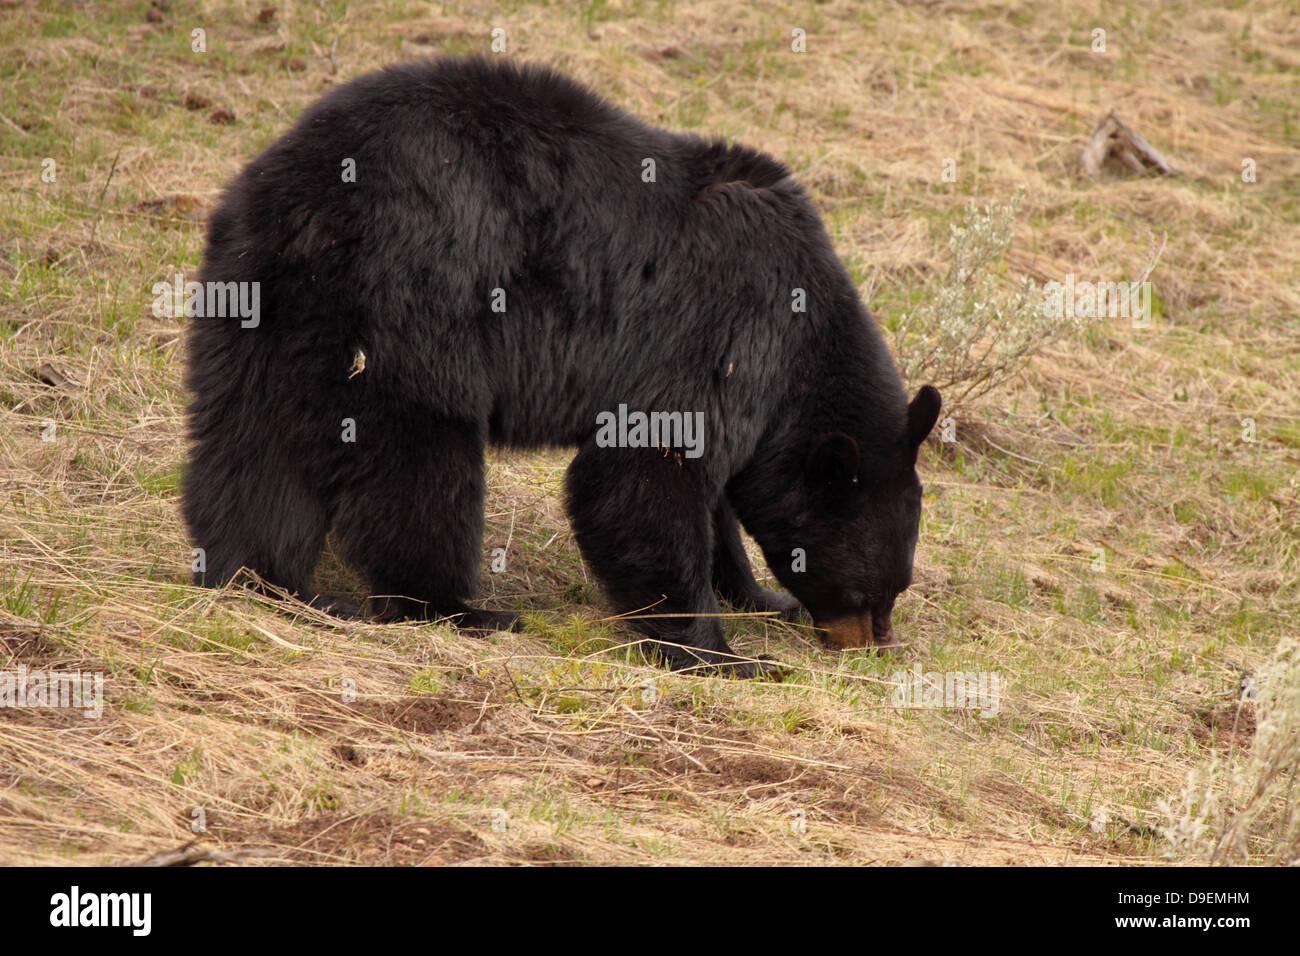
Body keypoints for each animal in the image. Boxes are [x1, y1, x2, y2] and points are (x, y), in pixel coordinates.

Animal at [183, 55, 941, 676]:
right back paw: (458, 608)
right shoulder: (724, 327)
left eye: (892, 590)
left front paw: (757, 593)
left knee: (250, 442)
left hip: (262, 297)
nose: (876, 646)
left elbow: (714, 495)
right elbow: (646, 470)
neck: (805, 336)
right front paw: (720, 653)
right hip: (419, 304)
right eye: (871, 589)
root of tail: (312, 195)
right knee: (421, 469)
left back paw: (267, 578)